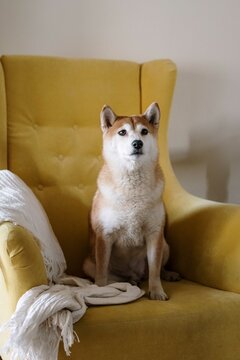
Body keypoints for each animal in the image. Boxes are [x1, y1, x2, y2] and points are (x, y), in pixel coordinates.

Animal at [83, 102, 179, 300]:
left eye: (144, 131)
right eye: (122, 132)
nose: (137, 143)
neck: (133, 187)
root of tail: (134, 274)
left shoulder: (154, 234)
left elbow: (154, 270)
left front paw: (156, 291)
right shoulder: (104, 236)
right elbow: (102, 272)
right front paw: (101, 290)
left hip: (165, 245)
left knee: (156, 270)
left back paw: (168, 274)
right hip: (88, 264)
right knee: (114, 278)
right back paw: (127, 282)